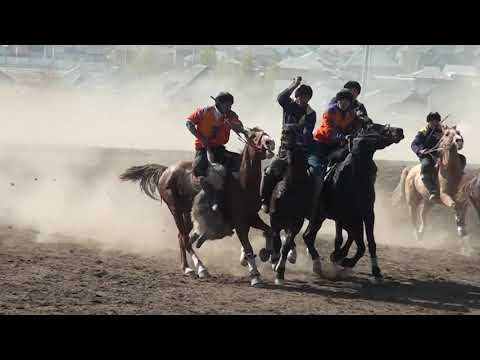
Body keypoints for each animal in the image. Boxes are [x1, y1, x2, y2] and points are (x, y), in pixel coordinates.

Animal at [120, 127, 276, 286]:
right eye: (253, 135)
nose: (270, 142)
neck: (243, 184)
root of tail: (166, 170)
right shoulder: (239, 222)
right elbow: (248, 247)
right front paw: (255, 275)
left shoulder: (252, 217)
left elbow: (270, 231)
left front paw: (265, 253)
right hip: (175, 210)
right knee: (185, 239)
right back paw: (200, 268)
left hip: (187, 214)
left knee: (181, 237)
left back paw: (186, 267)